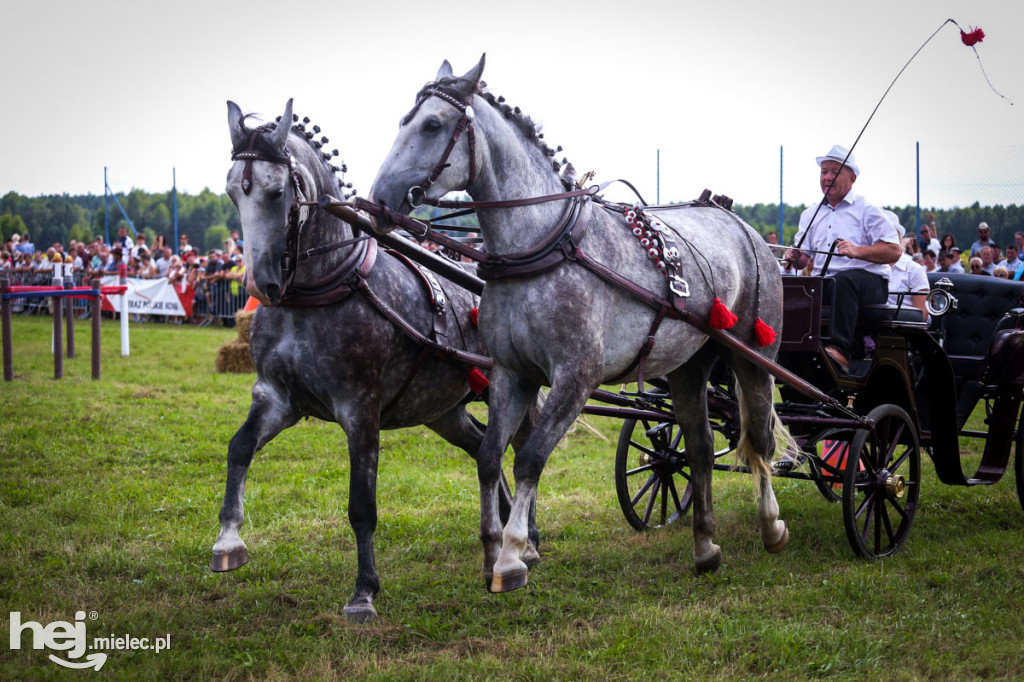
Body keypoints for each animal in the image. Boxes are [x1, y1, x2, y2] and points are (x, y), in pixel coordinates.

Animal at [212, 98, 540, 618]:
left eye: (277, 190)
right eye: (231, 192)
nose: (260, 284)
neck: (316, 294)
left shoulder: (359, 408)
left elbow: (362, 505)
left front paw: (364, 591)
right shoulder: (276, 397)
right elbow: (239, 447)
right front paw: (227, 541)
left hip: (517, 387)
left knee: (522, 445)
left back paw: (524, 543)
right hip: (443, 409)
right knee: (482, 446)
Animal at [370, 57, 790, 589]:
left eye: (431, 125)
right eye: (403, 122)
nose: (379, 199)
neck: (545, 244)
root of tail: (744, 227)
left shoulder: (576, 377)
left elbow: (530, 458)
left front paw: (512, 555)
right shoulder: (512, 373)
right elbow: (489, 457)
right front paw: (491, 551)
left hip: (754, 354)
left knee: (760, 439)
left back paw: (772, 525)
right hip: (687, 365)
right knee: (699, 448)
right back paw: (705, 546)